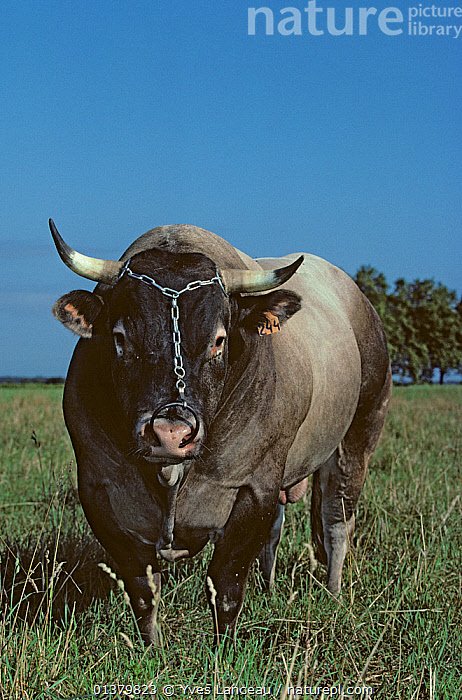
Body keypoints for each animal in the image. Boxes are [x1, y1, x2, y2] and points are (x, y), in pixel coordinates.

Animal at [49, 219, 390, 644]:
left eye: (219, 340)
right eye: (120, 337)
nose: (171, 433)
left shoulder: (253, 486)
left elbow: (226, 582)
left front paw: (223, 648)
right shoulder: (98, 492)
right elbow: (142, 587)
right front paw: (152, 648)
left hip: (358, 436)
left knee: (336, 520)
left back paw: (333, 592)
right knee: (276, 532)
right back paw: (269, 588)